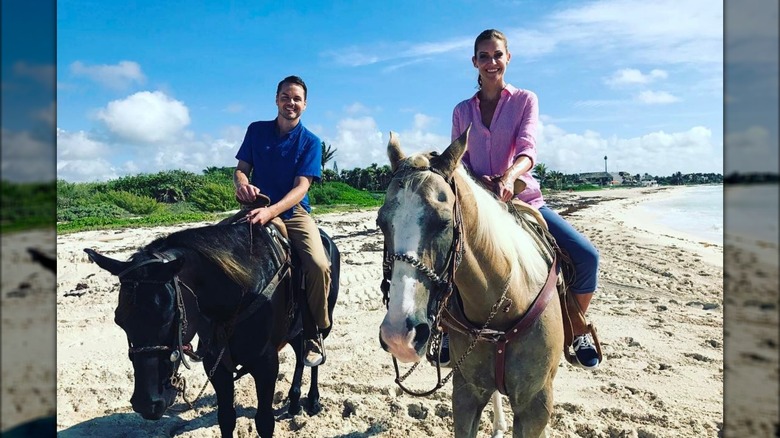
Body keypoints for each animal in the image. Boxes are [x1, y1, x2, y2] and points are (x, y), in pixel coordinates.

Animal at [376, 125, 560, 436]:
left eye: (443, 223)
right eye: (381, 223)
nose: (399, 336)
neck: (505, 305)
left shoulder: (534, 405)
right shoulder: (466, 395)